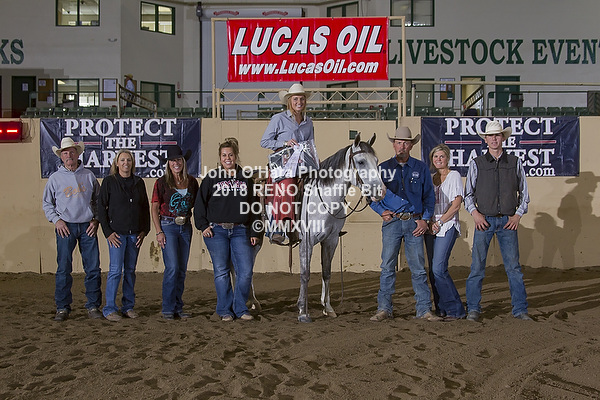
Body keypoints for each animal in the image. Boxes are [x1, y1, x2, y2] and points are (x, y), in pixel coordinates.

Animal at [296, 133, 385, 323]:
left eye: (376, 160)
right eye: (361, 162)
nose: (380, 191)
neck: (323, 199)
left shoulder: (331, 240)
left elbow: (327, 272)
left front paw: (328, 308)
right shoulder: (306, 242)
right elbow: (305, 274)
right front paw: (302, 312)